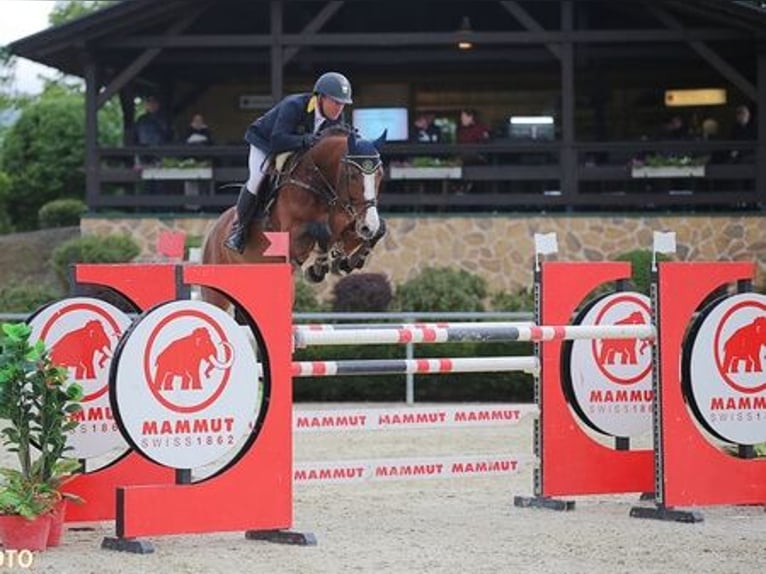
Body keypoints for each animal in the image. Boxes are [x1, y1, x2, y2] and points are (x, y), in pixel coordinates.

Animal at [201, 127, 388, 312]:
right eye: (353, 175)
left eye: (380, 174)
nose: (369, 225)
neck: (317, 185)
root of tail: (215, 229)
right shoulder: (291, 239)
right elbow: (321, 230)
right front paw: (318, 269)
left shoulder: (349, 226)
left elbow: (379, 230)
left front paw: (349, 262)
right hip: (216, 291)